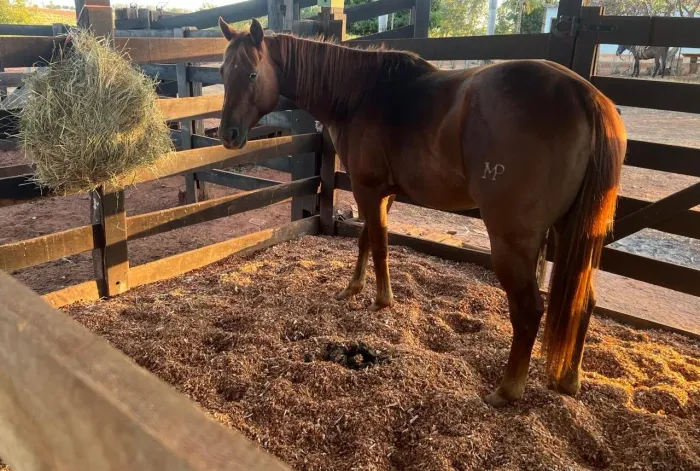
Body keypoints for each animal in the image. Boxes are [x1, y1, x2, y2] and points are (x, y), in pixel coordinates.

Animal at [217, 18, 627, 407]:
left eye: (251, 73)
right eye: (222, 70)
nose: (228, 135)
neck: (359, 94)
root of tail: (585, 96)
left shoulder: (368, 189)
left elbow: (379, 245)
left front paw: (382, 300)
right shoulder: (384, 194)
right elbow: (367, 240)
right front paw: (353, 289)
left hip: (513, 238)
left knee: (528, 310)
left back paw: (507, 391)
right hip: (572, 232)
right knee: (584, 302)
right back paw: (568, 380)